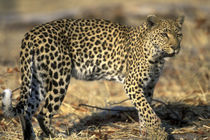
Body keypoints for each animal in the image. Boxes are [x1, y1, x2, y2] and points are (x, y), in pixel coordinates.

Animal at [2, 14, 184, 139]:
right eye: (164, 34)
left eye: (179, 35)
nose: (176, 48)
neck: (157, 56)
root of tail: (30, 33)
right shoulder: (132, 84)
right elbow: (147, 110)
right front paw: (158, 131)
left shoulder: (148, 86)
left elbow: (145, 109)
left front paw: (146, 131)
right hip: (59, 78)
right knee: (43, 113)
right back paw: (59, 135)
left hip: (37, 80)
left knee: (27, 110)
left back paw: (31, 136)